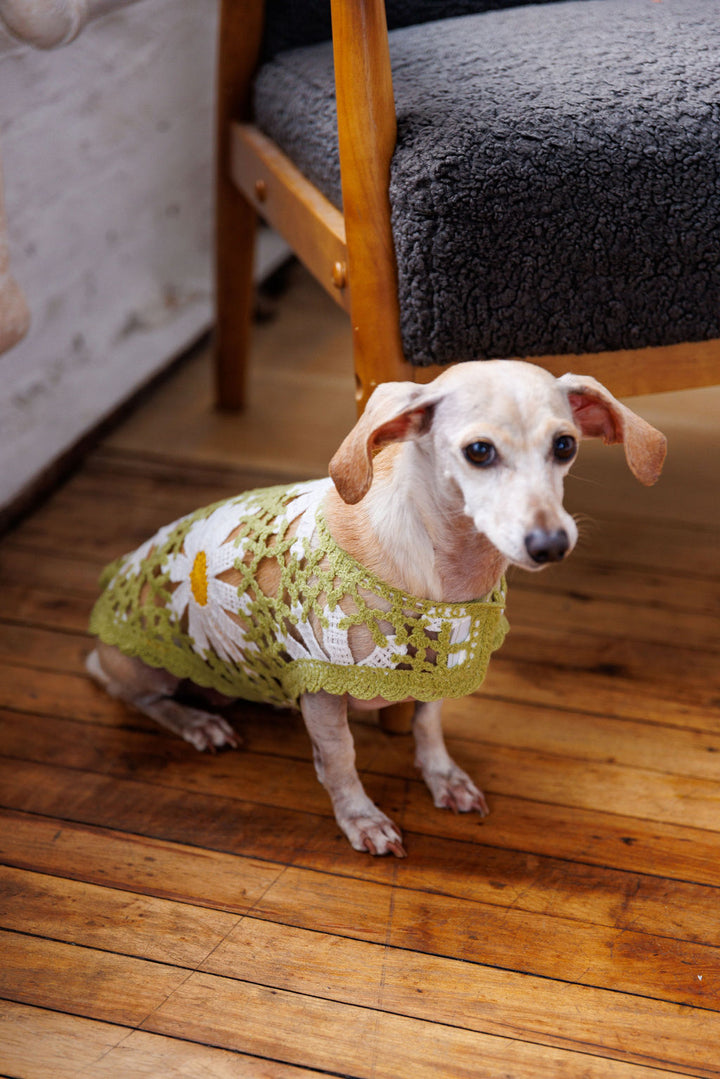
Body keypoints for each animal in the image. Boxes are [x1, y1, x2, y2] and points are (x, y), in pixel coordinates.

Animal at [87, 358, 669, 854]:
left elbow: (428, 727)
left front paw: (444, 778)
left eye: (565, 445)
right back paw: (196, 721)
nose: (551, 545)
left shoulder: (437, 673)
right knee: (134, 694)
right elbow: (341, 759)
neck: (444, 578)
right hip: (143, 667)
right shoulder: (322, 691)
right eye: (479, 451)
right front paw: (362, 819)